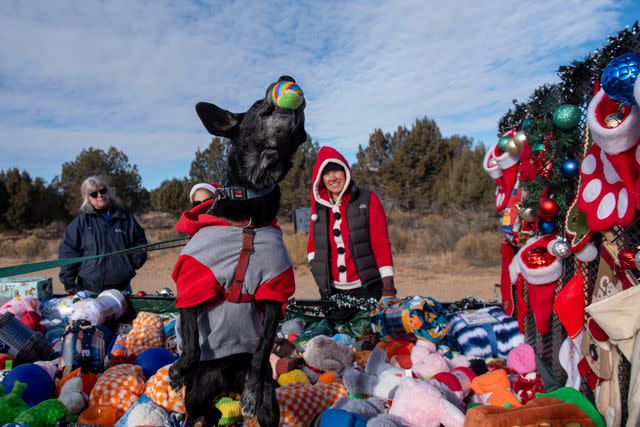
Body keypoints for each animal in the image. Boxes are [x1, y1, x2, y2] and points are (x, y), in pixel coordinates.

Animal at [170, 77, 308, 427]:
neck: (248, 216)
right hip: (195, 397)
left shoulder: (274, 289)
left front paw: (251, 390)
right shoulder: (193, 281)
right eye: (259, 105)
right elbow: (192, 344)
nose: (285, 76)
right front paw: (179, 369)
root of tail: (226, 380)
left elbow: (262, 351)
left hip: (268, 409)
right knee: (199, 412)